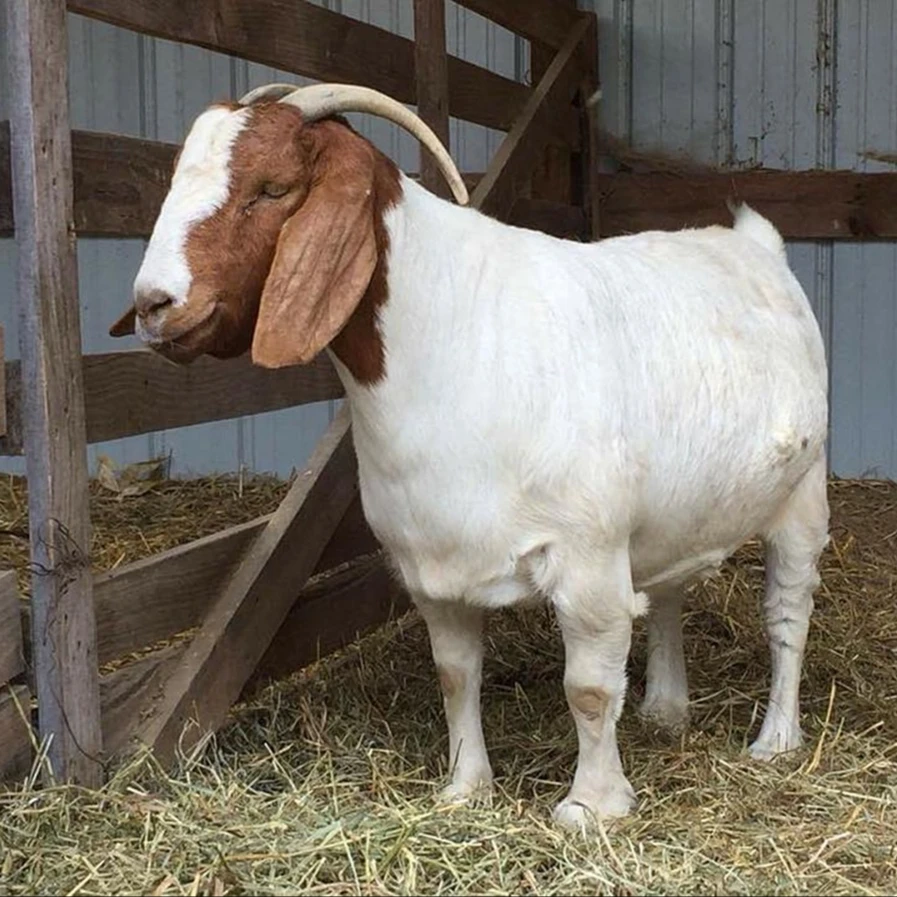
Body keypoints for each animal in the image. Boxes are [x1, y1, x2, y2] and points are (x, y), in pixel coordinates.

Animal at [110, 83, 830, 828]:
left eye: (272, 187)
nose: (154, 305)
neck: (456, 341)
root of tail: (755, 243)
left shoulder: (589, 558)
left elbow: (589, 688)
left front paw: (591, 807)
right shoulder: (431, 569)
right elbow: (456, 674)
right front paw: (464, 788)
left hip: (803, 493)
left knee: (787, 612)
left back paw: (775, 739)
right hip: (672, 515)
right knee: (667, 590)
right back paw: (665, 709)